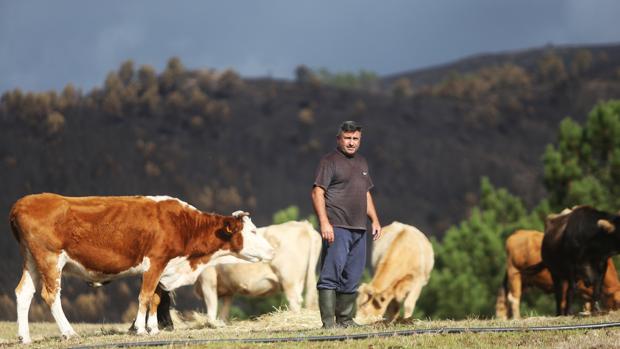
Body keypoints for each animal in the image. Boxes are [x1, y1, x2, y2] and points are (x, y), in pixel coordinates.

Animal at [9, 193, 274, 342]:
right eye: (252, 231)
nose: (272, 251)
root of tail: (22, 203)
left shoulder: (163, 267)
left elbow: (155, 298)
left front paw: (153, 329)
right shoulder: (155, 261)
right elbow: (145, 296)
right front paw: (139, 329)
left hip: (31, 260)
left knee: (23, 293)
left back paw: (25, 337)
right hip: (49, 259)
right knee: (51, 295)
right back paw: (69, 332)